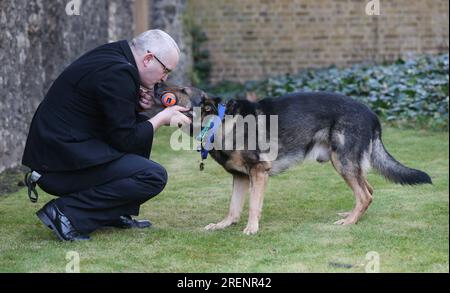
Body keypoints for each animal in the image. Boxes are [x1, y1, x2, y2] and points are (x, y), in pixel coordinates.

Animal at [154, 82, 432, 235]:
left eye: (182, 90)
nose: (156, 86)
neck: (219, 122)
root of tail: (372, 115)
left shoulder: (258, 172)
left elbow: (253, 205)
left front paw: (252, 229)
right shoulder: (240, 177)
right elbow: (233, 208)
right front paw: (224, 225)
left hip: (342, 161)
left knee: (365, 194)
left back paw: (349, 222)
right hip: (347, 164)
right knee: (369, 190)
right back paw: (352, 215)